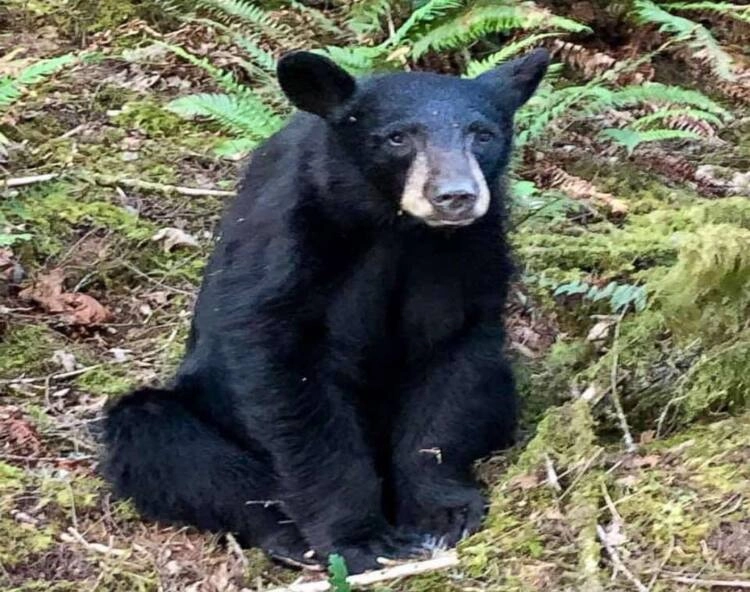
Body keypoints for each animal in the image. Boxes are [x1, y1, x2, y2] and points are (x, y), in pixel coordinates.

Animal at [101, 48, 552, 576]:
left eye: (482, 134)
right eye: (397, 137)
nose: (455, 196)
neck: (394, 225)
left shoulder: (470, 250)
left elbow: (454, 358)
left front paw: (442, 511)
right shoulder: (292, 236)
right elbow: (285, 373)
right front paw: (360, 537)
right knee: (160, 439)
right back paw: (287, 534)